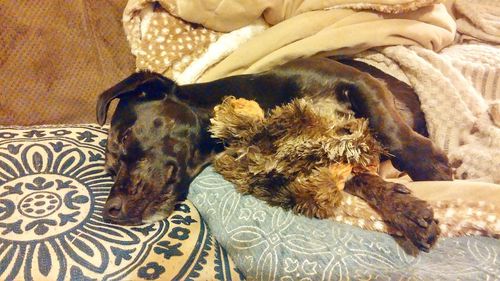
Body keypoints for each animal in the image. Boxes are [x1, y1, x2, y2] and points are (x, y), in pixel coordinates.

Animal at [95, 56, 452, 249]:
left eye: (125, 136)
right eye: (109, 171)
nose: (109, 211)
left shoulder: (359, 83)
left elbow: (391, 131)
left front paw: (430, 169)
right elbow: (360, 180)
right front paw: (404, 210)